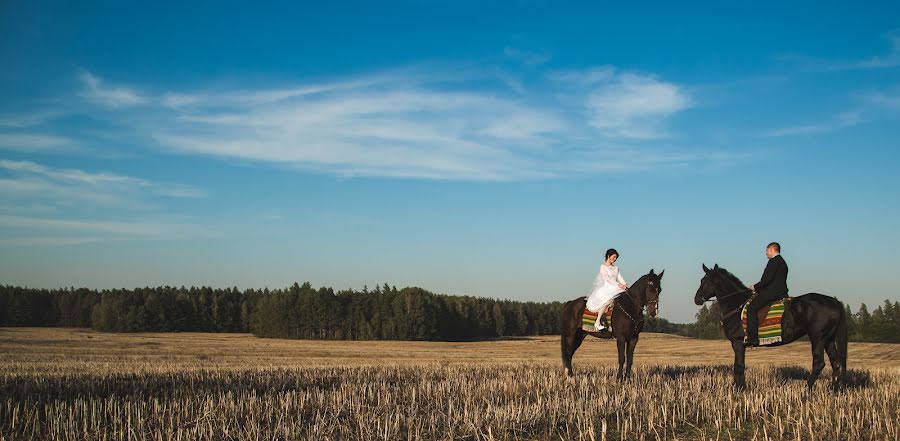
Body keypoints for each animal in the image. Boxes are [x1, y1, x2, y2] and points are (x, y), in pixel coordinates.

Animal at [692, 262, 848, 388]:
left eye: (703, 281)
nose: (697, 299)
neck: (736, 304)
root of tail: (835, 302)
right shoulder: (738, 344)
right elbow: (738, 365)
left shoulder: (738, 343)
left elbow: (739, 366)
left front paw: (739, 389)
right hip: (828, 339)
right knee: (836, 363)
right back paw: (833, 390)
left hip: (818, 338)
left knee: (819, 363)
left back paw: (806, 390)